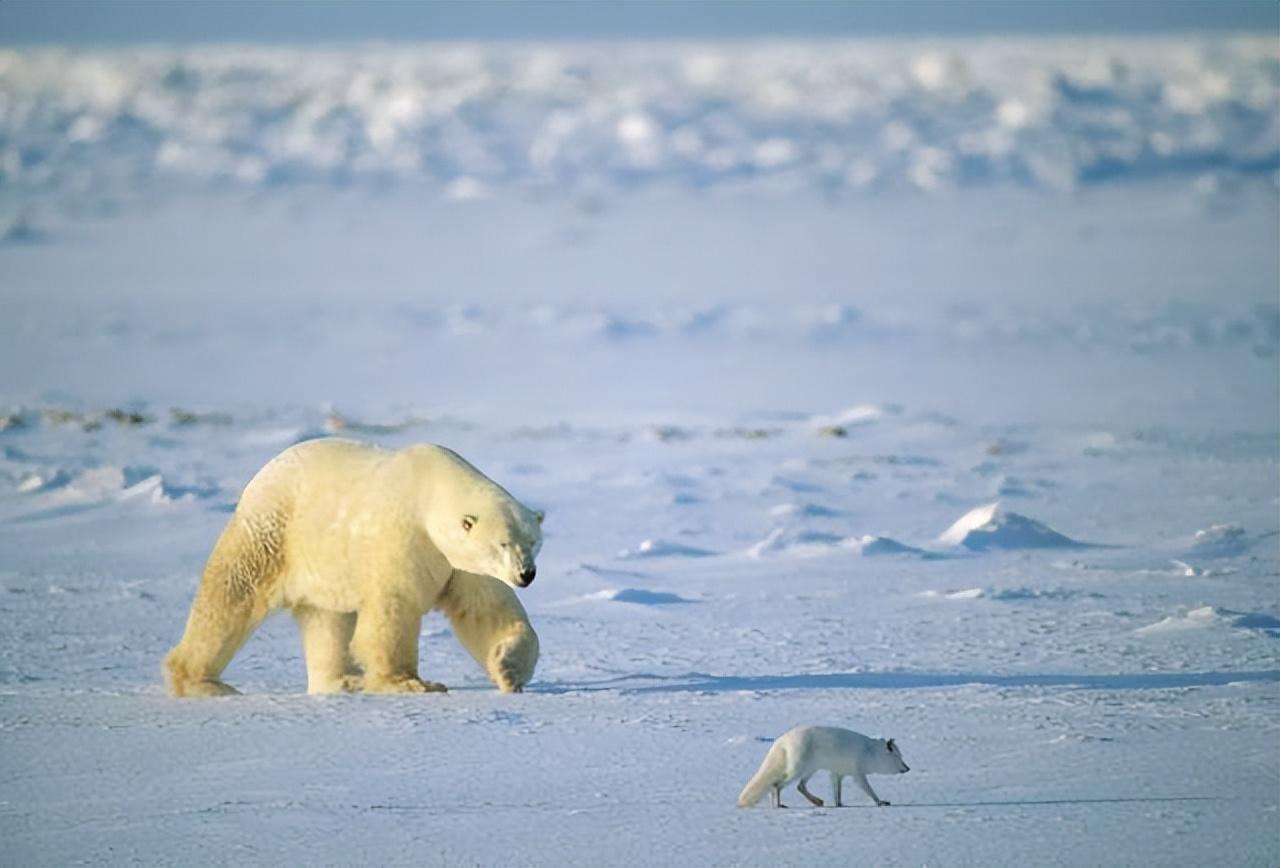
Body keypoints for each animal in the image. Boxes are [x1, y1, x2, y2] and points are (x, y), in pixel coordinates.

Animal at [162, 437, 542, 696]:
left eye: (533, 541)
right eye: (504, 543)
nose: (527, 574)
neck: (427, 491)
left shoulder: (458, 563)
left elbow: (486, 610)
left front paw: (507, 668)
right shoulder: (403, 537)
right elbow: (394, 609)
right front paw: (411, 683)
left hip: (324, 569)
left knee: (327, 622)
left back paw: (343, 680)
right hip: (272, 533)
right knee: (231, 597)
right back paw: (203, 683)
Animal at [737, 722, 906, 814]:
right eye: (898, 757)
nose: (907, 768)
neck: (869, 752)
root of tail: (782, 739)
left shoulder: (837, 774)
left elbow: (837, 794)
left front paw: (840, 805)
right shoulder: (857, 774)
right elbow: (869, 790)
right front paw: (880, 802)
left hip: (810, 770)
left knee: (800, 786)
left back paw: (817, 802)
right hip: (796, 770)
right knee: (776, 785)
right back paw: (778, 805)